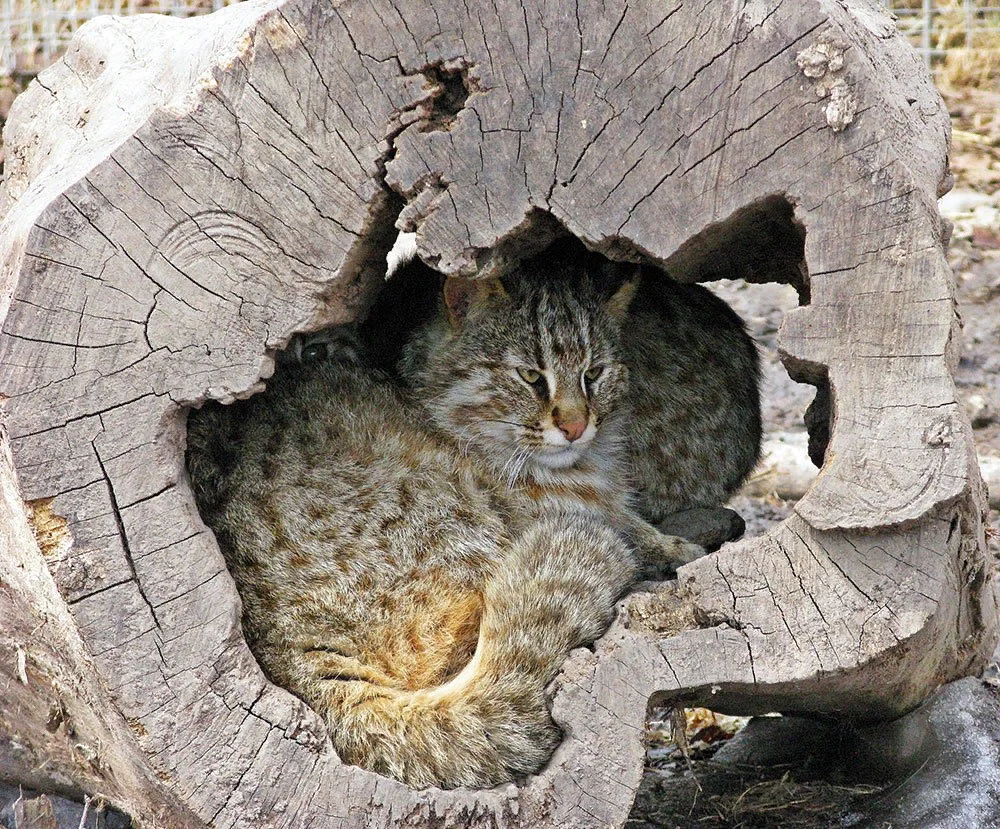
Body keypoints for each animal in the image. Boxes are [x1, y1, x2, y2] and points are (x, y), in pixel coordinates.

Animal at [188, 268, 704, 784]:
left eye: (593, 373)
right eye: (531, 377)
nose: (576, 428)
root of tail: (291, 651)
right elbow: (629, 532)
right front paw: (675, 549)